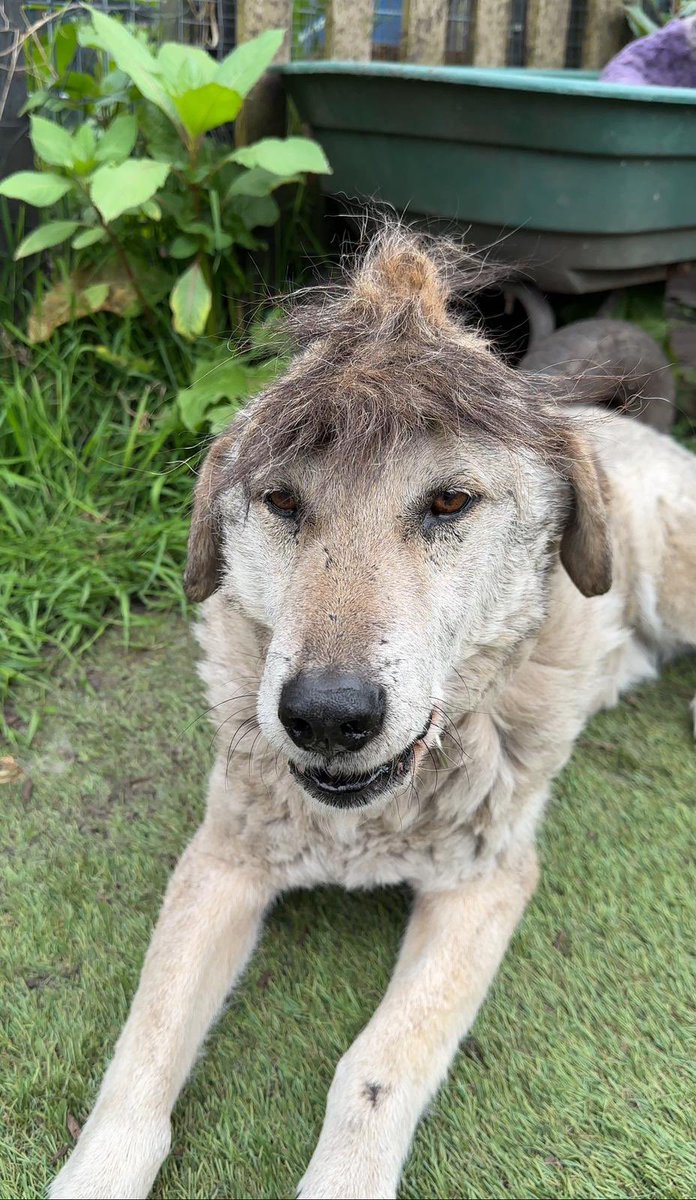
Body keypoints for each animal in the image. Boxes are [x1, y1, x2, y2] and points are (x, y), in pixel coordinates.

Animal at [50, 229, 696, 1195]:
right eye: (282, 500)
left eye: (450, 501)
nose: (326, 716)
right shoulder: (221, 858)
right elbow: (144, 1048)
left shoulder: (485, 885)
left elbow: (376, 1069)